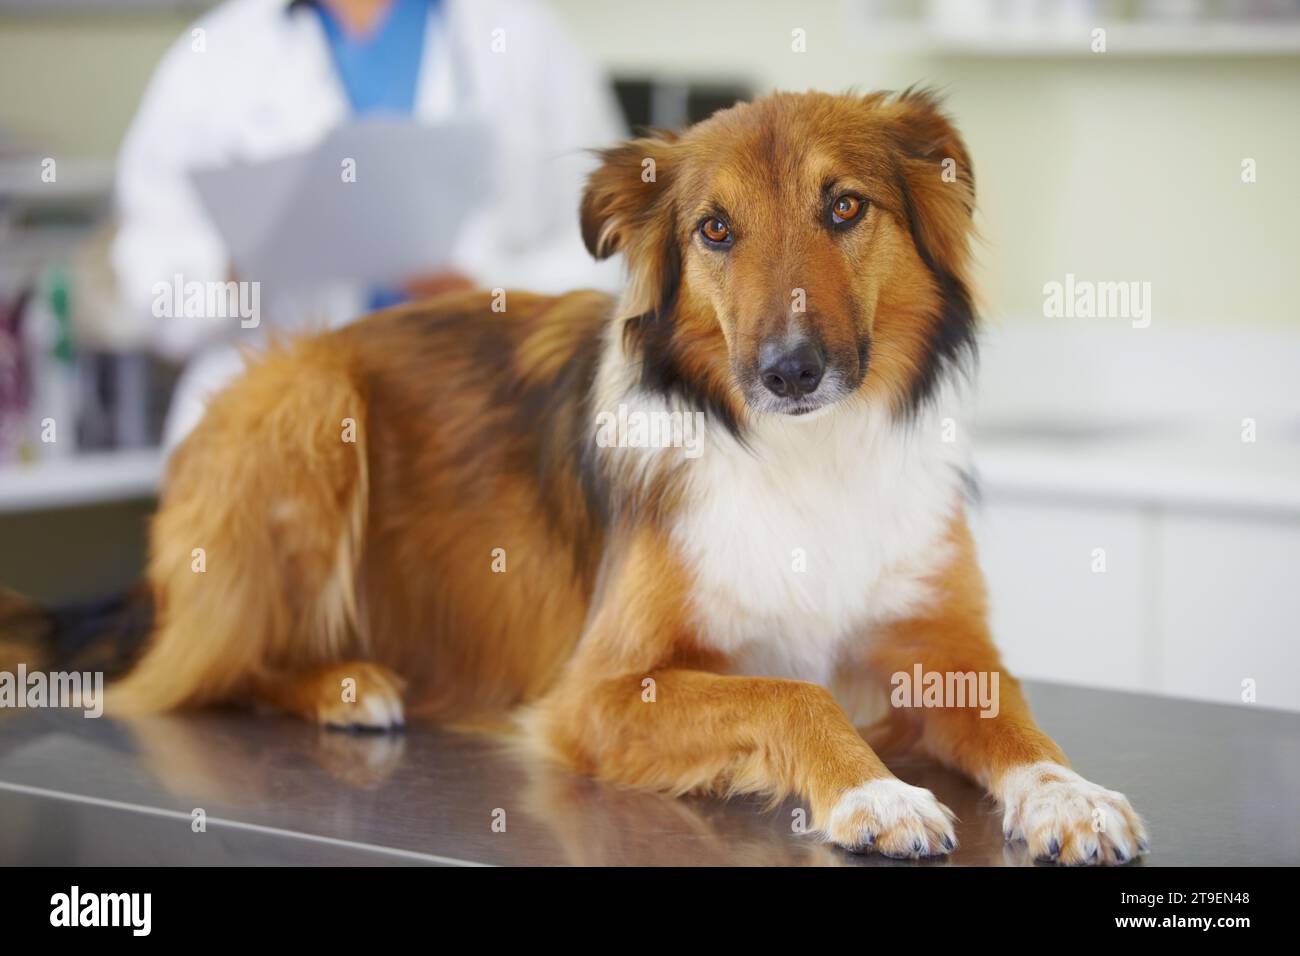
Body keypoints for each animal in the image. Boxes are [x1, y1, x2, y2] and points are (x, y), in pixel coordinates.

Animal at [111, 89, 1149, 863]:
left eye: (846, 206)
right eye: (715, 229)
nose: (789, 372)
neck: (804, 455)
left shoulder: (942, 640)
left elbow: (1016, 719)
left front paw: (1070, 796)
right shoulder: (595, 693)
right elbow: (791, 692)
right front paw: (873, 792)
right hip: (312, 406)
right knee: (210, 671)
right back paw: (350, 688)